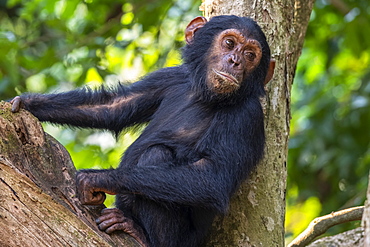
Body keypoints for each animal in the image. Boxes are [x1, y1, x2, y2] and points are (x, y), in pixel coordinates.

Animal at [10, 15, 274, 247]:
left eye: (250, 55)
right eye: (229, 43)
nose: (235, 61)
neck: (203, 94)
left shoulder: (247, 116)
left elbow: (214, 176)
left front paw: (97, 178)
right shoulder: (169, 76)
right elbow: (113, 106)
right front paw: (28, 102)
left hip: (183, 241)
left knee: (156, 154)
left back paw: (140, 234)